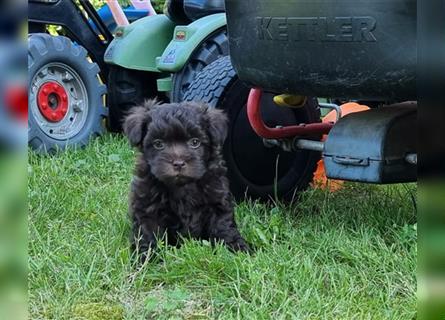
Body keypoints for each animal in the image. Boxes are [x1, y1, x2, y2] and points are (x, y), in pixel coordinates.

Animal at [124, 100, 250, 260]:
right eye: (158, 144)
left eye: (195, 142)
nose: (178, 163)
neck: (182, 185)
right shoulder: (147, 207)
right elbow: (147, 233)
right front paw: (146, 258)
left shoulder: (217, 200)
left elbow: (223, 227)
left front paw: (236, 249)